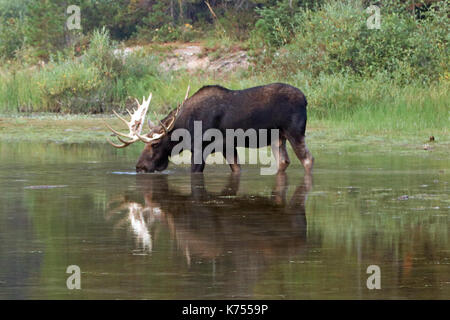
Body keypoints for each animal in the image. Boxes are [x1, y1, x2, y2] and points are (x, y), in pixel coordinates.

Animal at [107, 82, 314, 172]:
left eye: (155, 144)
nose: (139, 166)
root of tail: (306, 99)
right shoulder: (227, 147)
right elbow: (236, 169)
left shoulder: (200, 149)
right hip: (278, 138)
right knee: (283, 161)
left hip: (295, 132)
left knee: (308, 159)